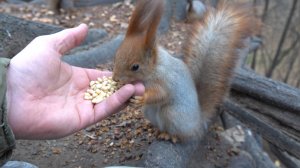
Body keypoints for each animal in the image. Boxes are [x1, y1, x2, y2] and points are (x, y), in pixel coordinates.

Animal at [112, 0, 258, 143]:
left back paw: (170, 135)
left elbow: (161, 94)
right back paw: (154, 128)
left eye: (135, 67)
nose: (115, 78)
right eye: (116, 55)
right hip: (149, 111)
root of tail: (197, 124)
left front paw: (142, 98)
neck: (155, 68)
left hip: (171, 113)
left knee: (179, 133)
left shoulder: (165, 81)